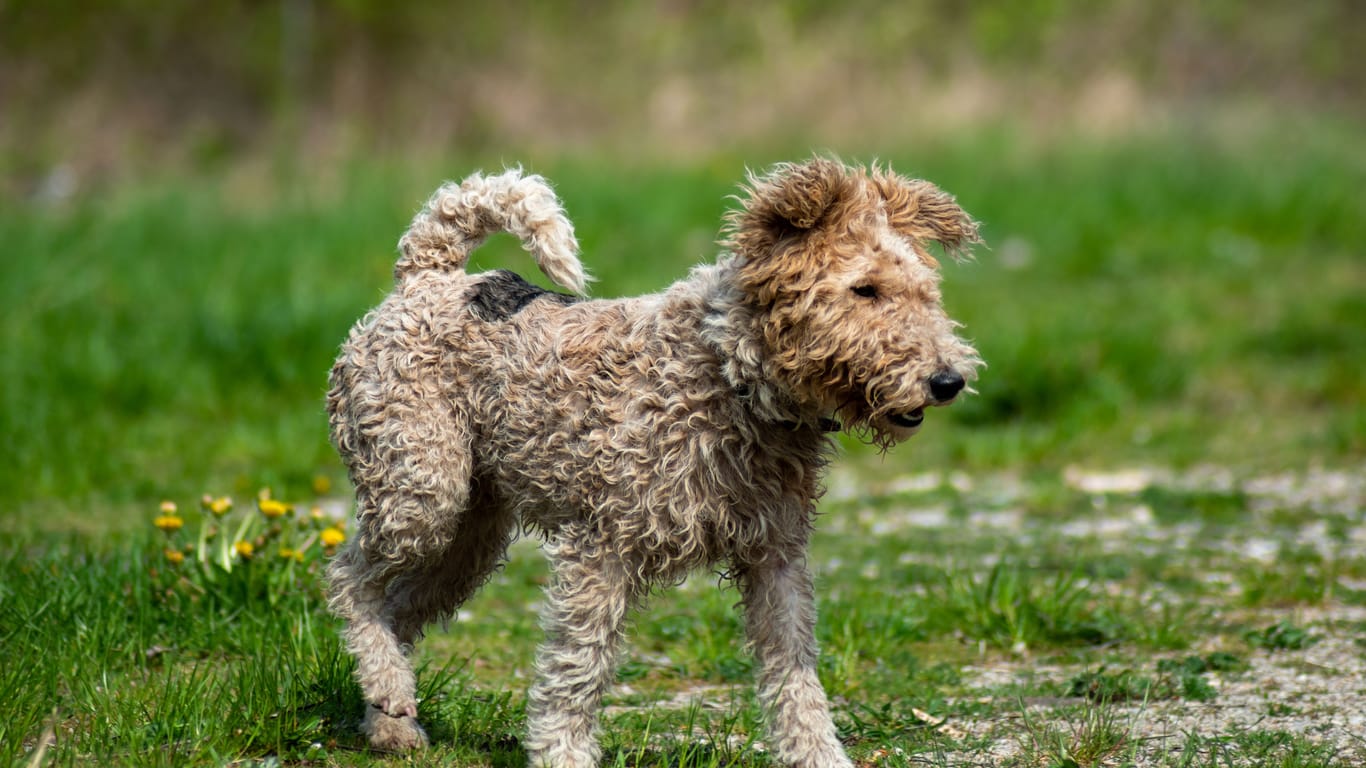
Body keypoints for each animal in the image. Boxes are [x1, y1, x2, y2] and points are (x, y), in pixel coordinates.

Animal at [323, 157, 978, 765]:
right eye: (865, 288)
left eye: (926, 290)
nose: (948, 381)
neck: (727, 372)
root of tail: (429, 277)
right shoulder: (602, 548)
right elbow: (577, 669)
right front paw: (561, 753)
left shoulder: (777, 555)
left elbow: (795, 678)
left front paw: (819, 756)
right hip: (421, 493)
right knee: (349, 581)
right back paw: (389, 690)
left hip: (471, 534)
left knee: (398, 610)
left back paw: (392, 721)